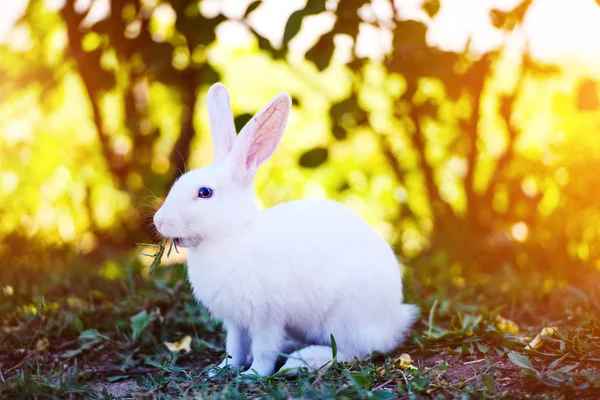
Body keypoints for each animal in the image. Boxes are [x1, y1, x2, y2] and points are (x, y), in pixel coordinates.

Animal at [152, 83, 420, 376]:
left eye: (204, 193)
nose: (159, 221)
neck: (231, 236)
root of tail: (393, 321)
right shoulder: (236, 322)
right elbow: (234, 347)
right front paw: (223, 369)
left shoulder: (267, 317)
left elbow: (264, 350)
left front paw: (253, 375)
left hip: (345, 317)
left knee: (352, 351)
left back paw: (301, 361)